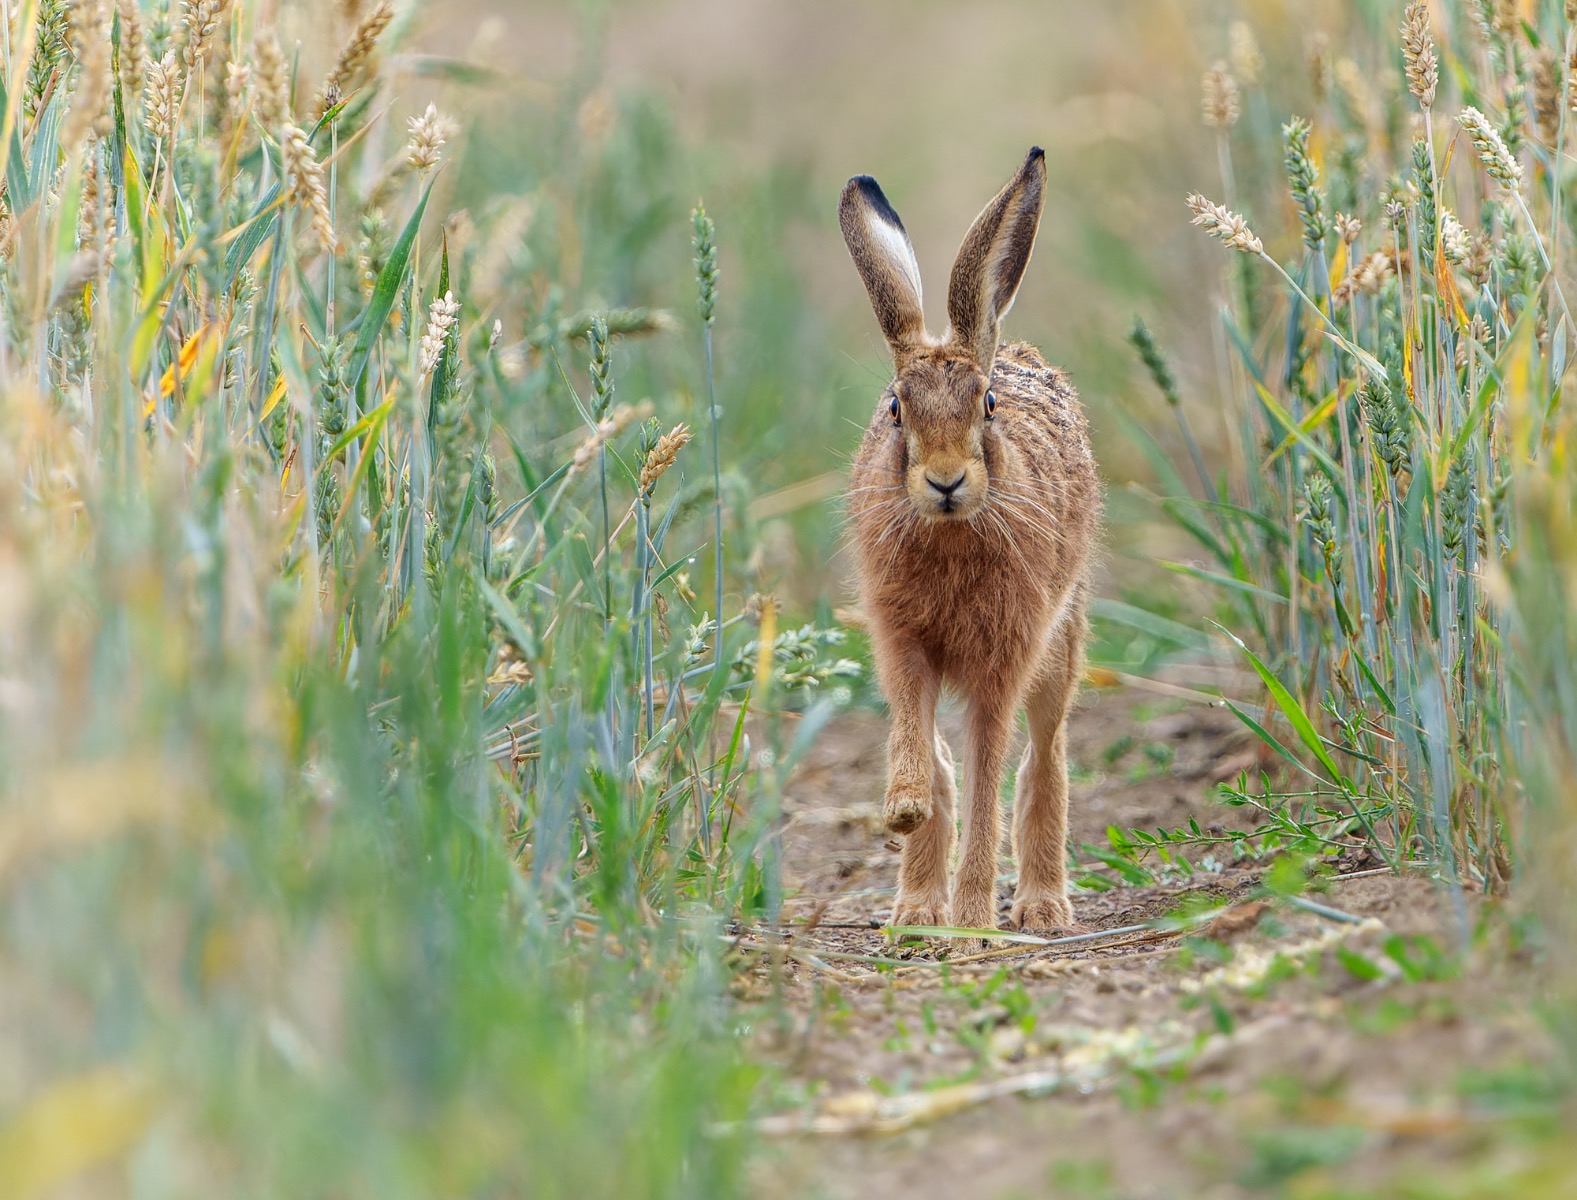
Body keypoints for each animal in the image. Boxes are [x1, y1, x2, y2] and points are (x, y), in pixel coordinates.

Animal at [839, 147, 1100, 936]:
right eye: (896, 409)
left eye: (986, 404)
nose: (946, 481)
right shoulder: (900, 638)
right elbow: (917, 739)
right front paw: (904, 811)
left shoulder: (1005, 657)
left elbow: (991, 776)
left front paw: (977, 917)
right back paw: (918, 908)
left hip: (1060, 645)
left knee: (1044, 760)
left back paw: (1041, 906)